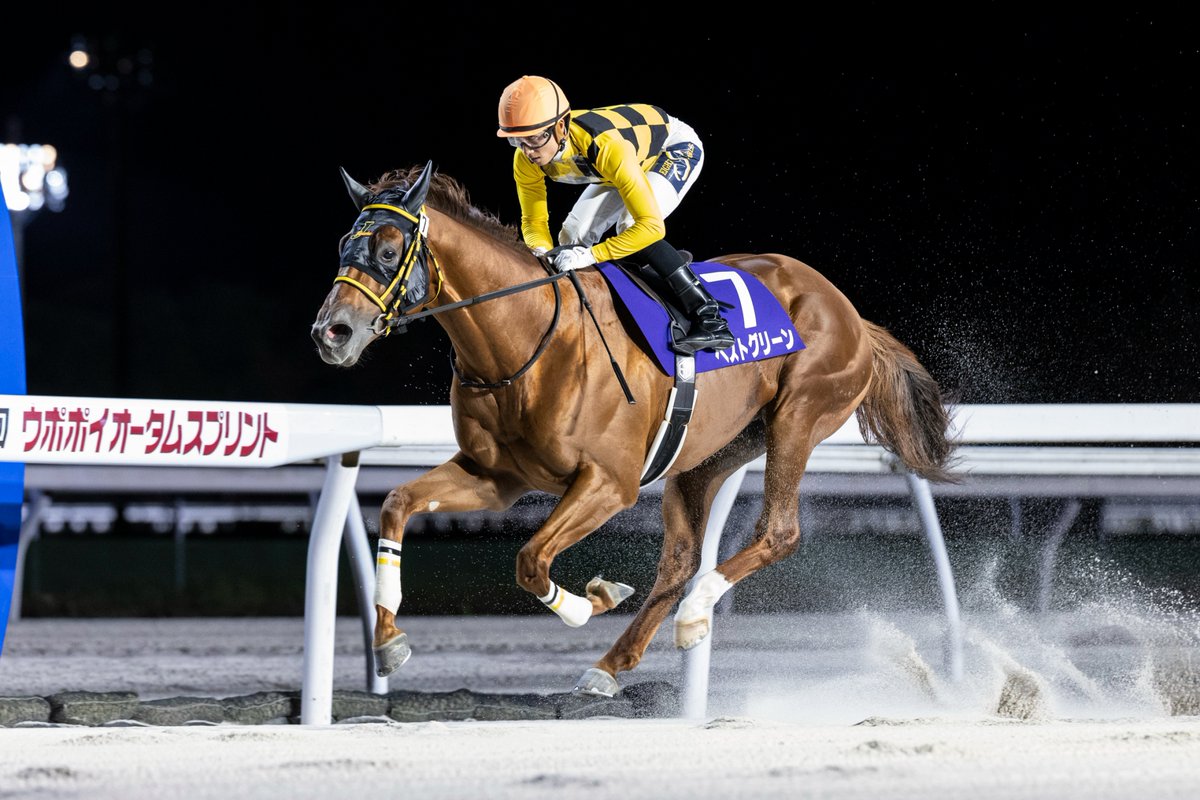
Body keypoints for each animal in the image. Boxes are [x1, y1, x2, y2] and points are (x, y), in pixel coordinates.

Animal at [310, 161, 959, 697]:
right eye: (344, 244)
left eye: (390, 250)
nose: (331, 333)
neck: (527, 342)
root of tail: (848, 310)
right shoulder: (495, 476)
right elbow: (397, 503)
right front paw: (388, 640)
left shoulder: (609, 482)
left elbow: (531, 558)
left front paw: (590, 601)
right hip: (708, 454)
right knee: (680, 560)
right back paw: (612, 664)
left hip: (799, 416)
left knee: (778, 531)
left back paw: (694, 615)